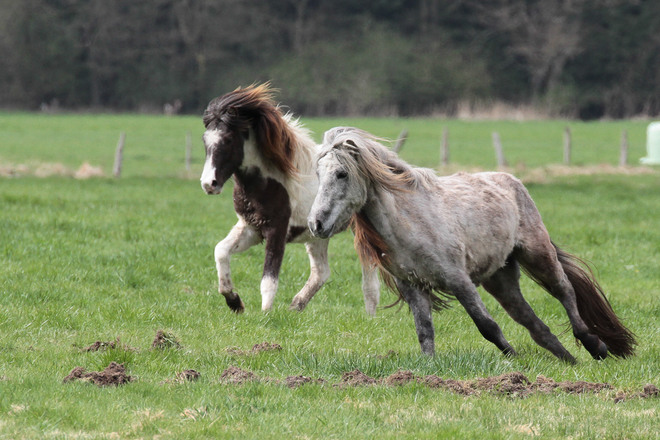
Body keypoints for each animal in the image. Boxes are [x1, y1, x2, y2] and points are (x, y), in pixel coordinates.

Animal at [199, 85, 378, 312]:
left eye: (228, 140)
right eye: (204, 141)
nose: (209, 184)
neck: (267, 183)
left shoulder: (277, 230)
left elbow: (269, 280)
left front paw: (265, 315)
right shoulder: (251, 228)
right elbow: (220, 251)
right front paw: (234, 302)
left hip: (360, 232)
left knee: (370, 275)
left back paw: (370, 315)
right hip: (318, 235)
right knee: (321, 272)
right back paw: (295, 307)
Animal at [306, 126, 636, 360]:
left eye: (342, 173)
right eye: (318, 174)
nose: (315, 224)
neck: (410, 222)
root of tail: (511, 181)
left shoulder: (458, 279)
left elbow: (486, 326)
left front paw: (514, 359)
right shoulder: (412, 287)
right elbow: (424, 333)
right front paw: (429, 371)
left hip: (538, 254)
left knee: (565, 291)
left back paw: (594, 346)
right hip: (500, 278)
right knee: (532, 322)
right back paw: (569, 360)